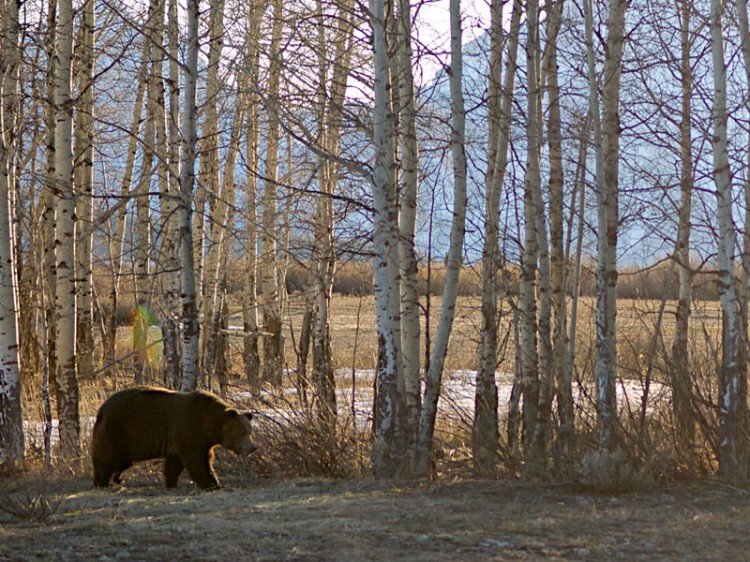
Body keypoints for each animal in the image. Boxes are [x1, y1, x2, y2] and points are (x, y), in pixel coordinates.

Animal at [91, 384, 258, 486]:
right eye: (242, 432)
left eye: (250, 431)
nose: (252, 448)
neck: (209, 424)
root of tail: (101, 410)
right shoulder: (190, 430)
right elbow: (198, 462)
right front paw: (213, 484)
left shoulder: (181, 439)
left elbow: (174, 464)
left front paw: (171, 482)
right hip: (118, 432)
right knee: (106, 460)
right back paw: (102, 483)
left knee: (122, 462)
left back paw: (118, 478)